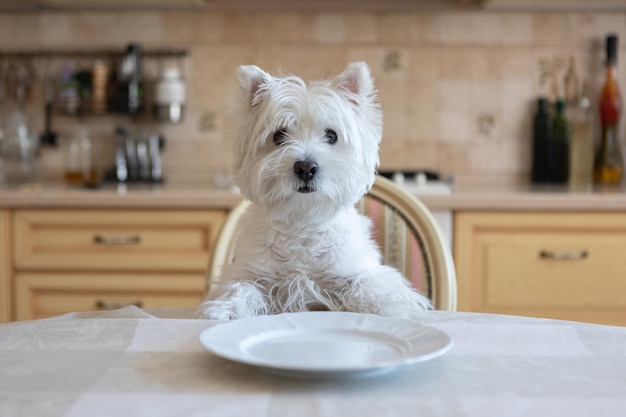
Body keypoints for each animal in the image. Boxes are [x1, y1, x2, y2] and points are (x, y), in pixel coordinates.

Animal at [195, 61, 428, 320]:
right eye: (279, 135)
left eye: (331, 135)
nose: (305, 168)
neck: (303, 221)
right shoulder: (250, 272)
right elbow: (240, 287)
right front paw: (225, 310)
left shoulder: (355, 269)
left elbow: (371, 285)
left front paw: (393, 307)